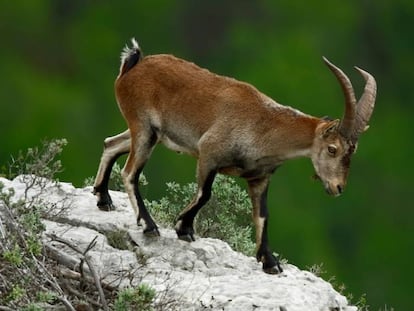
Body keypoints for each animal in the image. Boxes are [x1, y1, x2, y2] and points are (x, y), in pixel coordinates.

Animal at [93, 39, 376, 276]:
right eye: (332, 149)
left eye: (353, 152)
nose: (338, 187)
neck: (264, 126)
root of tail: (131, 68)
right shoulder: (209, 153)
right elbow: (204, 194)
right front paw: (184, 228)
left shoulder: (260, 177)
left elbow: (262, 215)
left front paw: (270, 262)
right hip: (144, 128)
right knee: (130, 171)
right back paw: (149, 225)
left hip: (148, 133)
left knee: (110, 144)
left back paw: (103, 198)